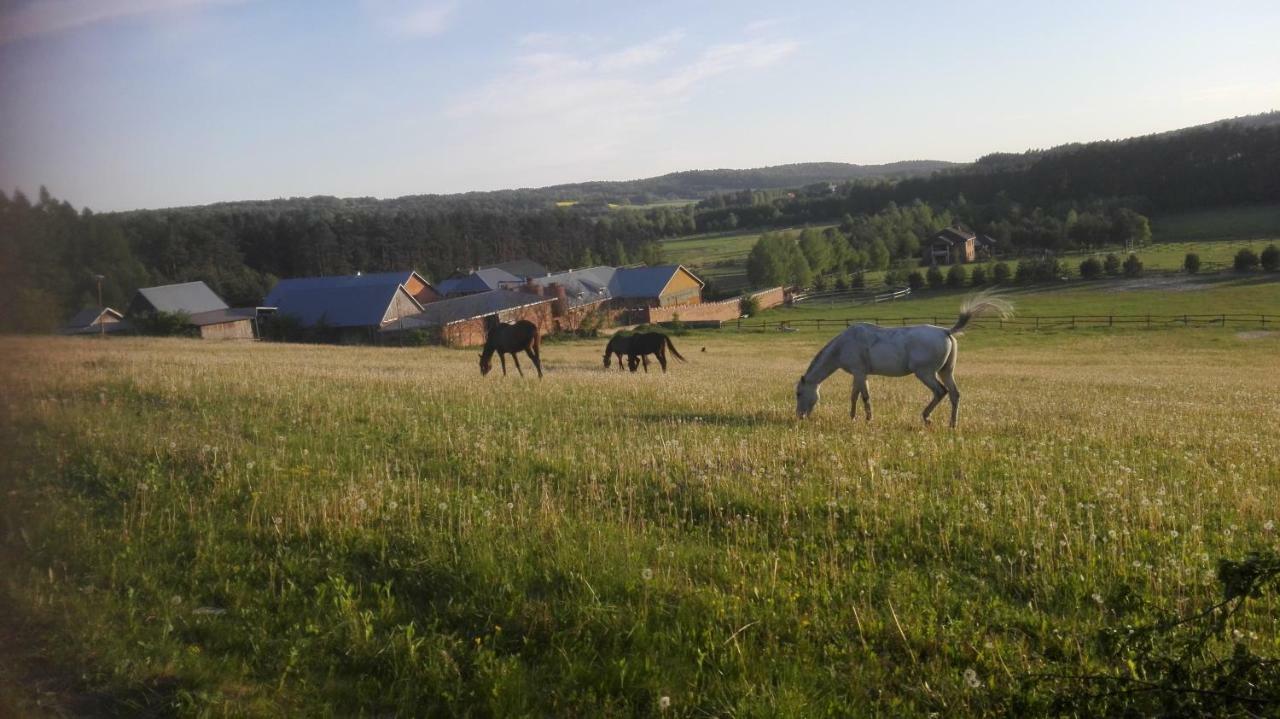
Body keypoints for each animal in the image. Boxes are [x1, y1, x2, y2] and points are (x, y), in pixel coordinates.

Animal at [793, 287, 1013, 424]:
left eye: (799, 393)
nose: (800, 416)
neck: (844, 344)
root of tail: (946, 331)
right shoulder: (859, 374)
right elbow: (854, 395)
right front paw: (853, 417)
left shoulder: (860, 373)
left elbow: (864, 396)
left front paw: (868, 419)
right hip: (946, 372)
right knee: (954, 394)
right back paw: (952, 424)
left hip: (925, 373)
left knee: (940, 392)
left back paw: (926, 417)